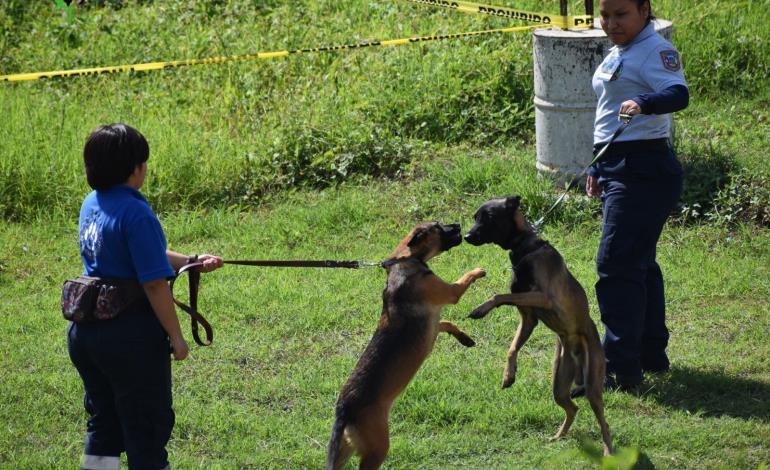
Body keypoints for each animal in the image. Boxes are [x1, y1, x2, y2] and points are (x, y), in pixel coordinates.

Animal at [326, 222, 484, 468]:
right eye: (438, 226)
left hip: (347, 447)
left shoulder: (433, 324)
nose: (458, 225)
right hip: (377, 446)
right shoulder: (451, 292)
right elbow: (465, 279)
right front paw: (479, 270)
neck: (404, 259)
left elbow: (447, 323)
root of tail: (343, 409)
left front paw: (464, 338)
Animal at [462, 196, 612, 456]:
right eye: (475, 217)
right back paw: (559, 436)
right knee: (572, 408)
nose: (467, 236)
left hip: (593, 386)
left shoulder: (543, 298)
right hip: (559, 382)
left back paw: (608, 451)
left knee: (604, 423)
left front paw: (481, 308)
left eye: (488, 217)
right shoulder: (528, 319)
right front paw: (509, 374)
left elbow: (499, 295)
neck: (526, 248)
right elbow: (512, 346)